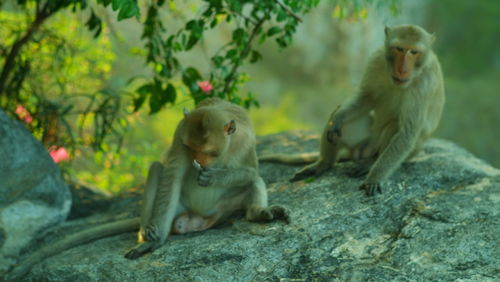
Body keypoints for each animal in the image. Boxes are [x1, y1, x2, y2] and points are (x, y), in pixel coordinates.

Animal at [5, 97, 290, 280]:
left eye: (209, 152)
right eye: (191, 148)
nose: (200, 161)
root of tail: (197, 217)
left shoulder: (247, 138)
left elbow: (252, 170)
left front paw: (216, 176)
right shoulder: (180, 133)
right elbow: (172, 174)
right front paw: (154, 240)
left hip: (224, 209)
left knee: (254, 182)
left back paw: (260, 213)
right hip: (178, 208)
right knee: (157, 170)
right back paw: (149, 236)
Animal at [264, 23, 444, 196]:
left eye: (414, 52)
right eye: (399, 49)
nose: (402, 69)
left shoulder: (424, 84)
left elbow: (407, 132)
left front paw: (374, 178)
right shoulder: (376, 60)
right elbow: (366, 98)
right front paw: (339, 117)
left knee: (396, 127)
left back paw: (370, 163)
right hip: (363, 142)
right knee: (339, 122)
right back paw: (324, 163)